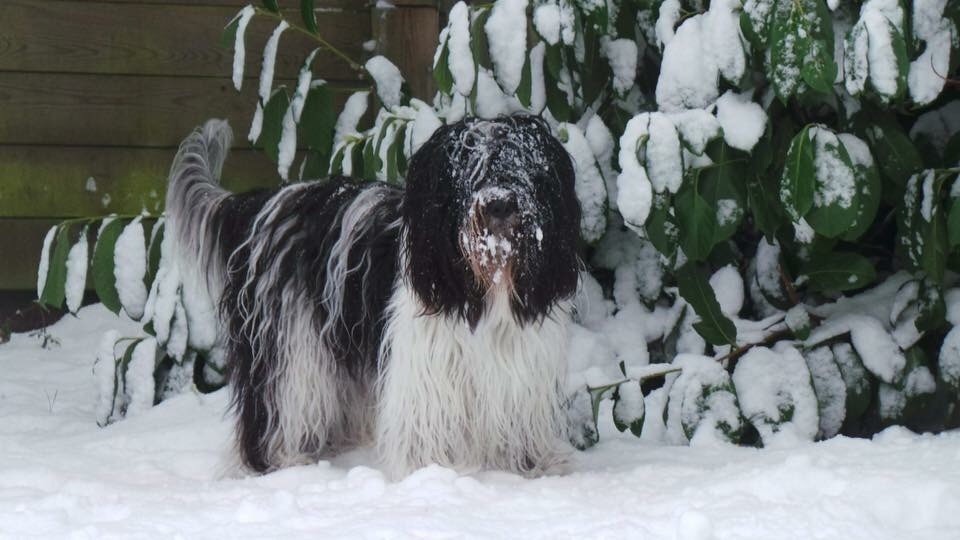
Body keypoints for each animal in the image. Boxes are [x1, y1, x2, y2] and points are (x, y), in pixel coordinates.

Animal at [165, 115, 580, 476]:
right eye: (469, 168)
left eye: (524, 165)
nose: (499, 204)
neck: (489, 284)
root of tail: (262, 204)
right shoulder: (428, 365)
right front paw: (430, 470)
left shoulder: (518, 364)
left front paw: (531, 464)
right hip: (287, 343)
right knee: (277, 404)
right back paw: (280, 461)